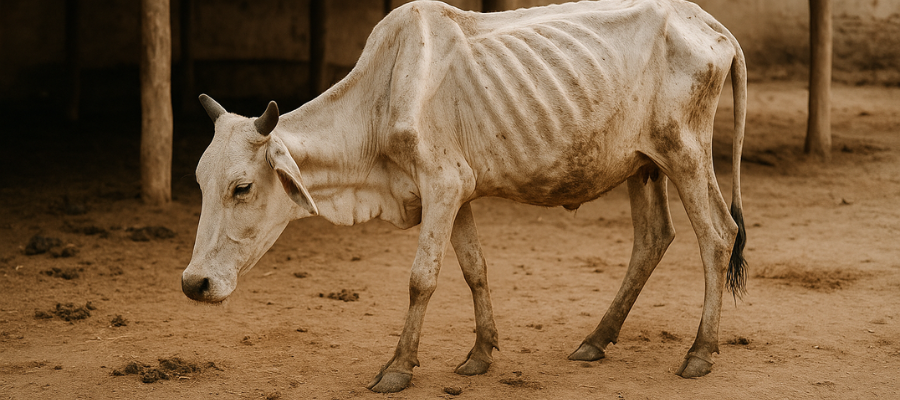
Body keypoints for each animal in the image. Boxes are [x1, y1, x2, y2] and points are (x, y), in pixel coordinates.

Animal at [182, 0, 747, 393]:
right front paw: (480, 354)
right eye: (201, 182)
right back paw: (595, 340)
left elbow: (421, 280)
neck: (380, 99)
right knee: (653, 238)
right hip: (643, 165)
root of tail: (711, 25)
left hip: (684, 151)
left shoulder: (443, 185)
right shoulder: (459, 194)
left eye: (242, 187)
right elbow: (475, 268)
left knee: (718, 234)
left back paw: (700, 352)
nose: (194, 283)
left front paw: (398, 367)